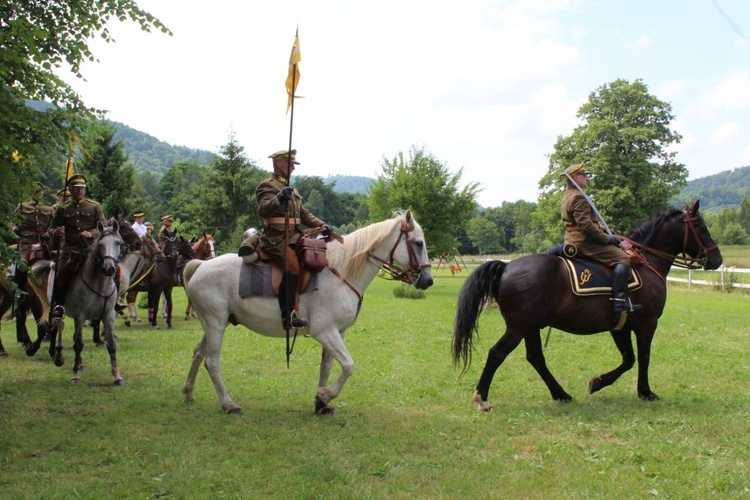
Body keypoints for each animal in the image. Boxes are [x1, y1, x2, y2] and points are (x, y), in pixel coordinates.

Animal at [181, 210, 434, 414]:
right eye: (418, 243)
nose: (428, 280)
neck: (341, 272)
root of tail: (201, 266)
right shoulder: (325, 332)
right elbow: (348, 365)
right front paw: (325, 395)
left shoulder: (337, 333)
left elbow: (327, 367)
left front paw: (321, 403)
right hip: (215, 323)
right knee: (212, 362)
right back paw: (228, 404)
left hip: (215, 323)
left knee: (198, 354)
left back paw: (188, 392)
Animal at [452, 201, 724, 412]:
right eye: (701, 227)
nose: (717, 259)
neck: (646, 263)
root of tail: (507, 266)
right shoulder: (647, 323)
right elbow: (643, 357)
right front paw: (645, 392)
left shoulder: (620, 327)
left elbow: (629, 359)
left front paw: (598, 382)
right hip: (519, 327)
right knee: (497, 354)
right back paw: (482, 398)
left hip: (530, 327)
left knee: (536, 358)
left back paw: (561, 394)